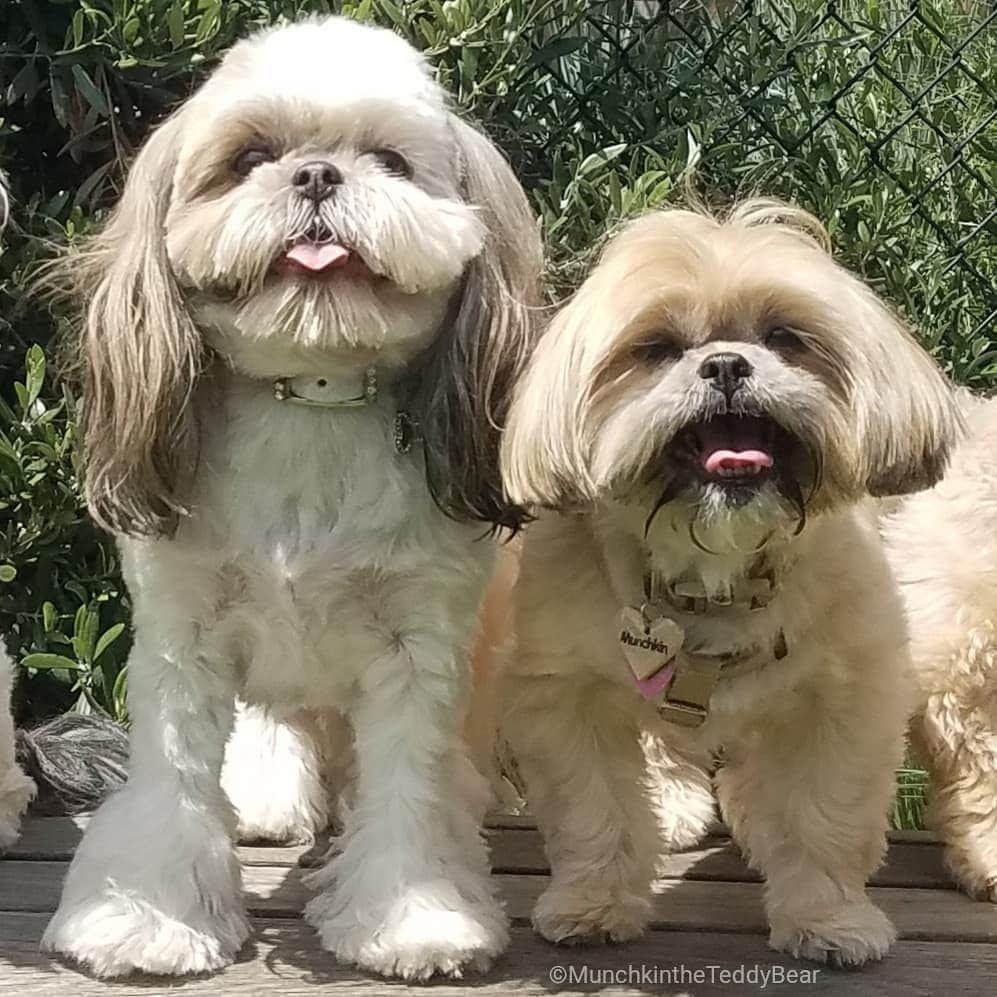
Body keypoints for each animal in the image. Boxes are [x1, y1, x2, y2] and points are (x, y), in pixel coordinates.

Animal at [40, 15, 536, 980]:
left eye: (389, 159)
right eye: (249, 157)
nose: (314, 174)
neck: (311, 395)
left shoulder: (418, 644)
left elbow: (408, 786)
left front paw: (412, 920)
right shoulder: (182, 635)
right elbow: (173, 784)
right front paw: (149, 919)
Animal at [502, 200, 960, 964]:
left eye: (782, 336)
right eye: (657, 347)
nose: (723, 362)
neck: (710, 579)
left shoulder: (842, 703)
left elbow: (821, 818)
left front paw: (828, 920)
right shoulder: (569, 700)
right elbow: (596, 811)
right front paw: (592, 904)